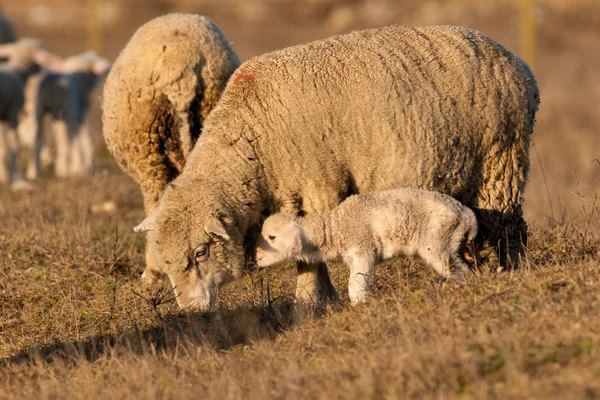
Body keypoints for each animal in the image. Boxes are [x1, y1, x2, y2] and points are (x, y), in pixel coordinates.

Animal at [0, 37, 61, 188]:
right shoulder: (13, 113)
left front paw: (5, 176)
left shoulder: (4, 116)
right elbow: (13, 147)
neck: (17, 71)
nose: (43, 70)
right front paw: (16, 177)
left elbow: (3, 146)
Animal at [24, 50, 112, 179]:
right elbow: (85, 137)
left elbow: (61, 139)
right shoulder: (79, 113)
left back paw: (34, 172)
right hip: (70, 111)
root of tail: (51, 83)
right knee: (71, 139)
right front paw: (88, 167)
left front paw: (62, 167)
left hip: (39, 110)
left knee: (37, 139)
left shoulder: (58, 117)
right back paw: (72, 169)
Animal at [254, 188, 478, 304]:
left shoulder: (363, 250)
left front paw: (359, 304)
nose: (257, 257)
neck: (334, 228)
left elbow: (355, 284)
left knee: (459, 271)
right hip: (449, 243)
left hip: (437, 243)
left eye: (272, 237)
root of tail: (468, 216)